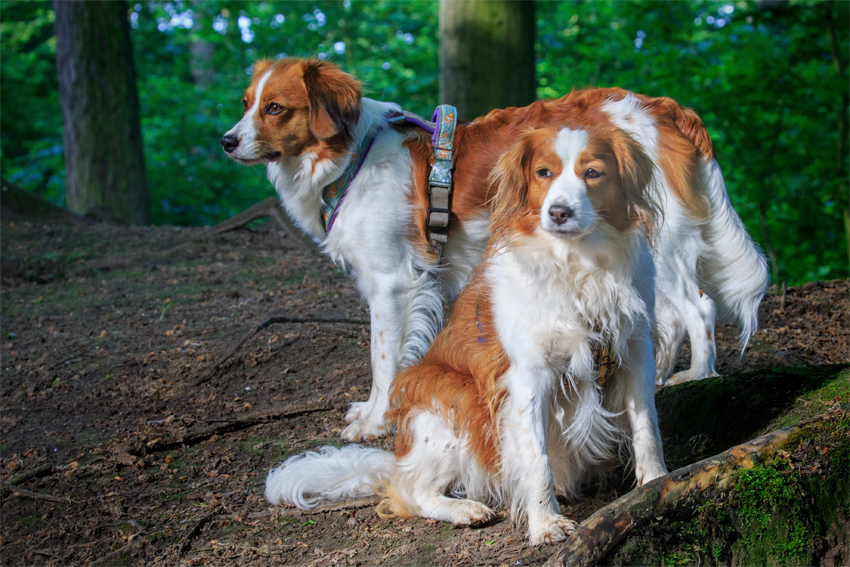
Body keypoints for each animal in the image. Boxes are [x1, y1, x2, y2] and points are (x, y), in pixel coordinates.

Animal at [220, 57, 768, 442]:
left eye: (275, 108)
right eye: (247, 102)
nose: (226, 141)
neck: (351, 155)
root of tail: (664, 107)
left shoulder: (393, 283)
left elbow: (384, 359)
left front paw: (375, 422)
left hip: (660, 240)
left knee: (699, 308)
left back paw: (697, 375)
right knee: (670, 317)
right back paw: (655, 378)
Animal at [262, 125, 664, 544]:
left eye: (593, 173)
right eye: (543, 173)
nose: (559, 212)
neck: (578, 265)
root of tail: (399, 455)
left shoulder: (636, 353)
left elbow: (647, 430)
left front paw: (655, 485)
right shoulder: (527, 377)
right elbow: (536, 457)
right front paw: (545, 523)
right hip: (451, 400)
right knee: (409, 490)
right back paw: (463, 509)